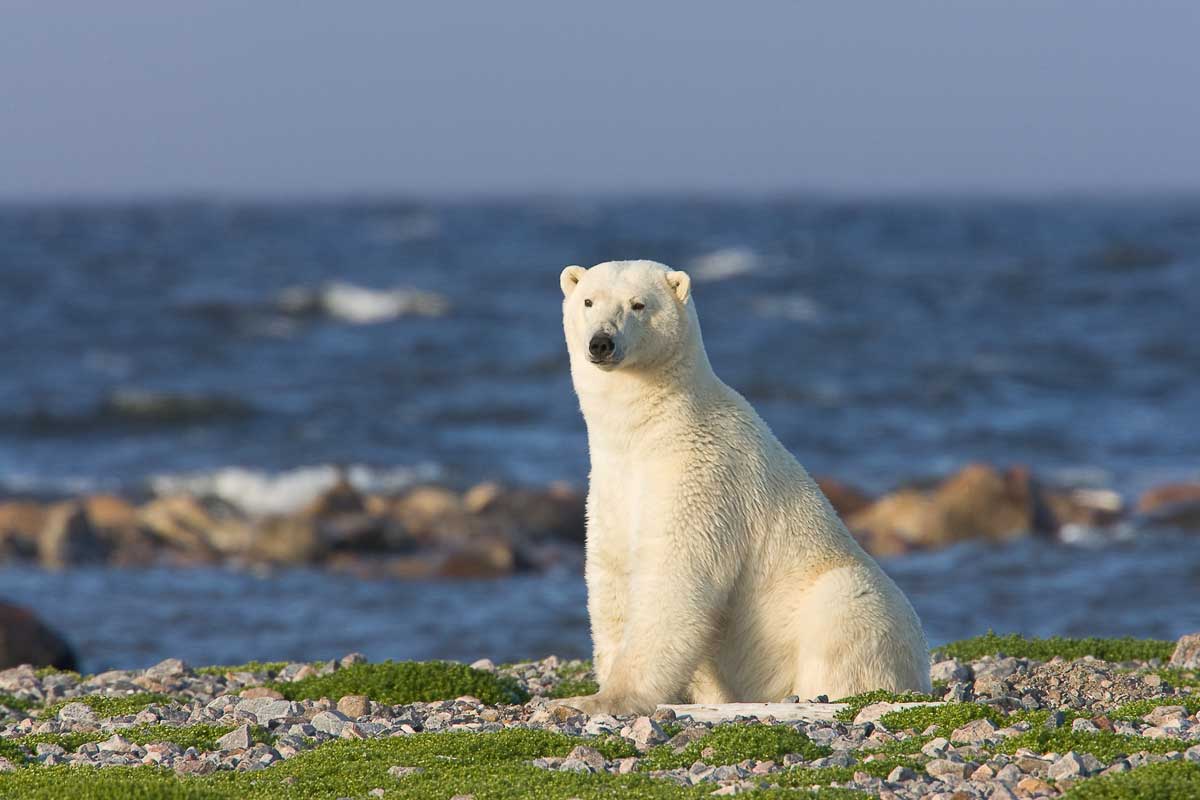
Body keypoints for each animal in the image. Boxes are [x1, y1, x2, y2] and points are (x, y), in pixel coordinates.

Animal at [556, 260, 931, 714]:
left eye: (638, 304)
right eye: (588, 301)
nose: (602, 343)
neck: (652, 429)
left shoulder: (703, 478)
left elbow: (674, 576)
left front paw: (603, 699)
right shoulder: (612, 483)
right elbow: (612, 573)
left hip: (845, 601)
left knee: (843, 613)